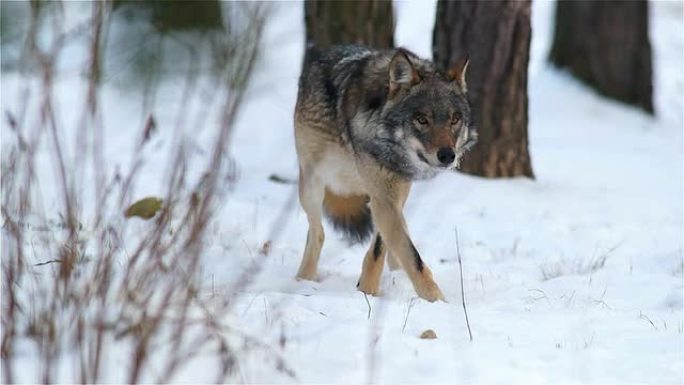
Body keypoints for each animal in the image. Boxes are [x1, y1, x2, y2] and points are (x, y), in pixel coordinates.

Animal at [292, 45, 476, 302]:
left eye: (455, 119)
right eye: (421, 120)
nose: (448, 155)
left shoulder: (389, 197)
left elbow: (382, 248)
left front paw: (367, 290)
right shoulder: (384, 200)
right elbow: (414, 259)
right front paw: (438, 302)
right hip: (312, 185)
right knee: (317, 234)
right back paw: (303, 280)